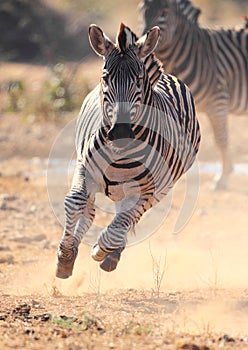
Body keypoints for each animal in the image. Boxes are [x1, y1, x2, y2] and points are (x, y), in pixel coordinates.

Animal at [55, 21, 200, 278]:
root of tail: (165, 77)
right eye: (105, 77)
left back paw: (111, 254)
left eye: (139, 79)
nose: (121, 132)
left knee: (127, 218)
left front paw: (101, 250)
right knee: (91, 211)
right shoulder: (84, 168)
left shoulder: (145, 190)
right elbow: (75, 202)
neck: (119, 156)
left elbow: (117, 228)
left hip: (159, 188)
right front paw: (65, 256)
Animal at [140, 0, 248, 189]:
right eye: (142, 11)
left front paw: (223, 177)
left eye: (164, 13)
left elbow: (221, 139)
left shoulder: (218, 102)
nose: (142, 44)